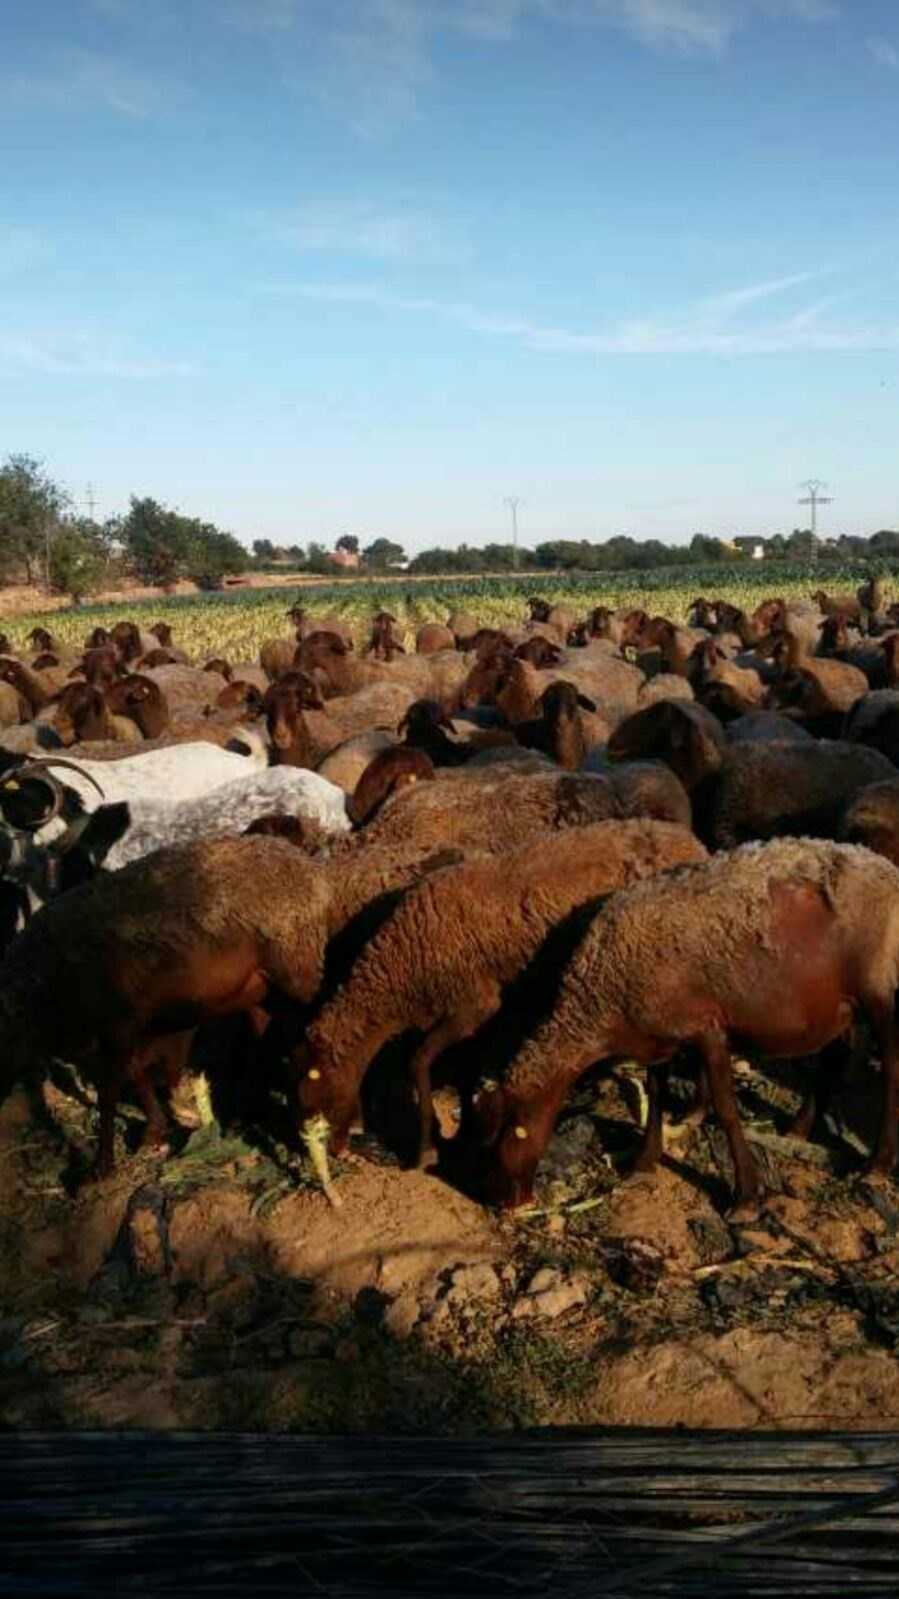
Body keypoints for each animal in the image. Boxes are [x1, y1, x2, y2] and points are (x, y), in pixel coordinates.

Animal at [297, 818, 703, 1170]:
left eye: (314, 1080)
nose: (333, 1149)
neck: (401, 968)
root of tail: (692, 843)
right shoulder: (477, 1022)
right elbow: (464, 1072)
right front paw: (462, 1136)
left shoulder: (474, 1007)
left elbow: (418, 1063)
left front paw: (426, 1149)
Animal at [470, 837, 895, 1208]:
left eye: (503, 1136)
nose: (496, 1201)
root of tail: (886, 867)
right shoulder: (659, 1038)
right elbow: (656, 1096)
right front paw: (644, 1161)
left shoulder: (708, 1028)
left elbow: (726, 1110)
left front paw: (746, 1196)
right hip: (838, 1004)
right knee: (835, 1058)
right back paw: (800, 1128)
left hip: (879, 990)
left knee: (891, 1070)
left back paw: (877, 1164)